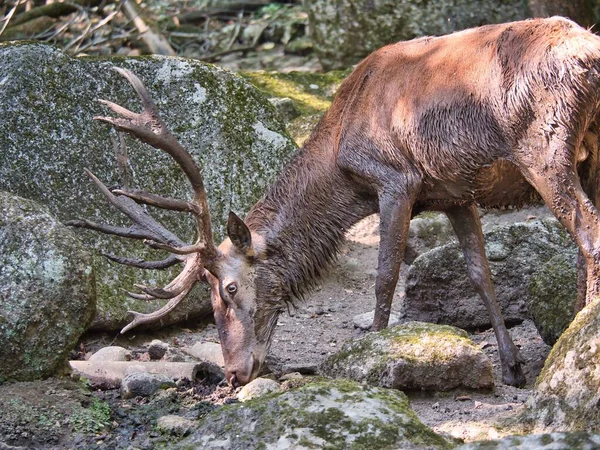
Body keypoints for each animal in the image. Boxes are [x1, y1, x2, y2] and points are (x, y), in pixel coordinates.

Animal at [70, 16, 600, 386]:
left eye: (229, 289)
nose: (233, 373)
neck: (342, 160)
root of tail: (589, 55)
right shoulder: (454, 192)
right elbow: (479, 274)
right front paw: (512, 368)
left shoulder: (396, 178)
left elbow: (386, 275)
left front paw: (376, 357)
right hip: (588, 155)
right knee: (581, 239)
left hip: (544, 146)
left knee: (589, 235)